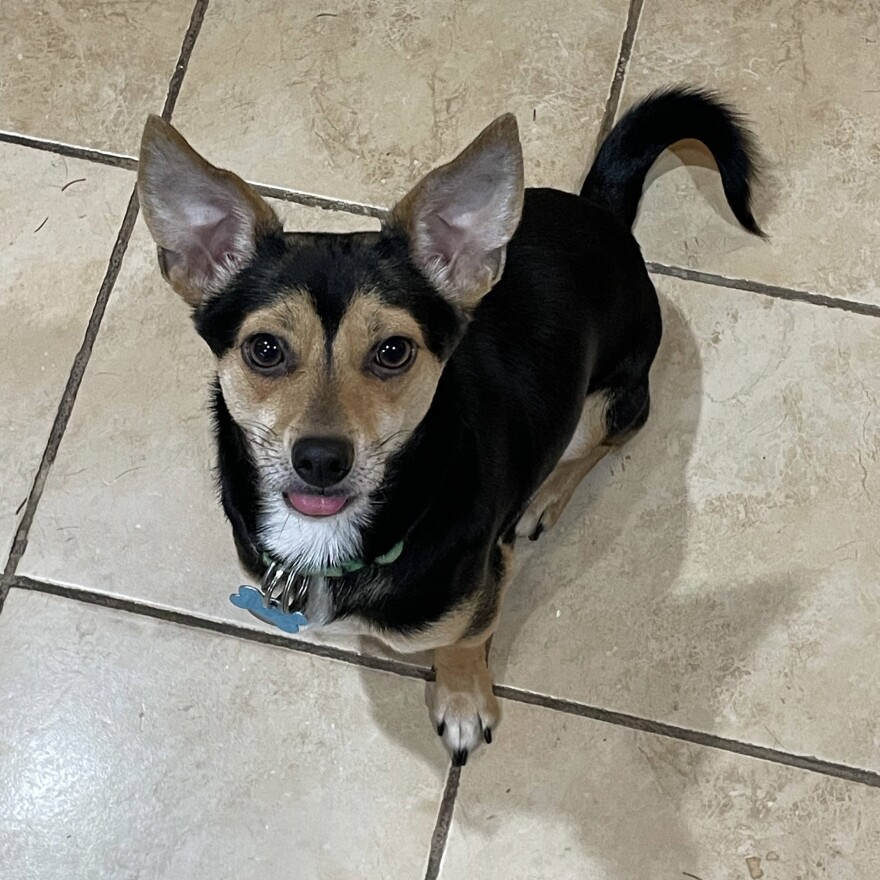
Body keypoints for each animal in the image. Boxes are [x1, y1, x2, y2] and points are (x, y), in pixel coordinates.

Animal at [138, 87, 764, 764]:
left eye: (393, 352)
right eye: (264, 350)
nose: (321, 459)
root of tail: (603, 214)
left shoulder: (482, 592)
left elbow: (461, 645)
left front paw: (463, 704)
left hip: (614, 399)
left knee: (601, 441)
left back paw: (545, 496)